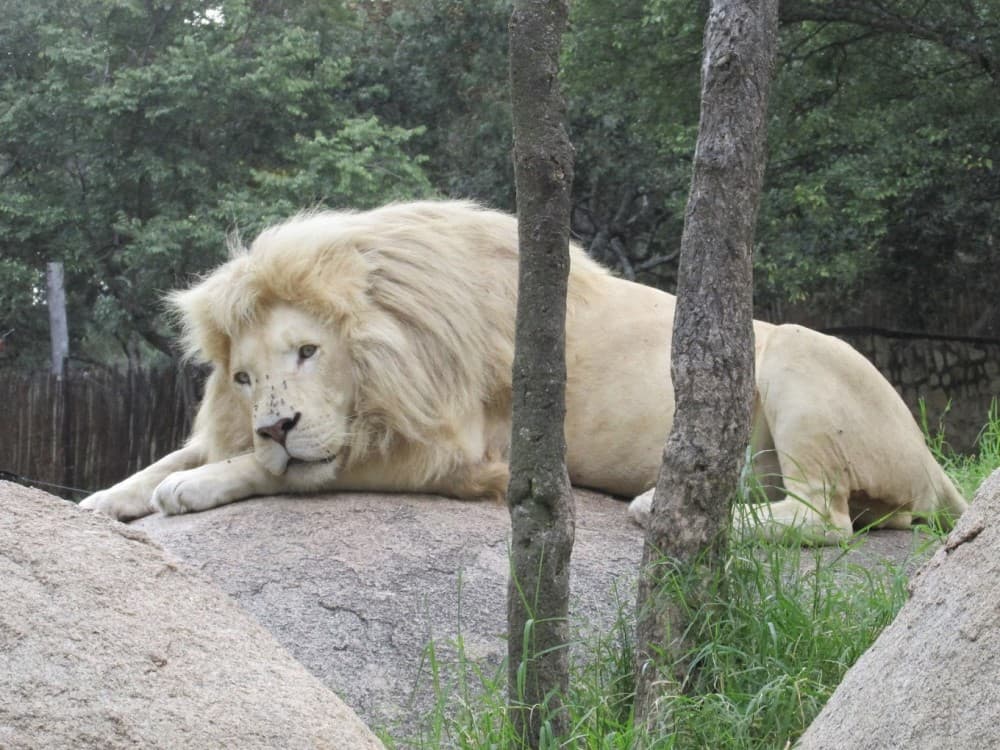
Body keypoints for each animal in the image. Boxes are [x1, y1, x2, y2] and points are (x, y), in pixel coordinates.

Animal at [81, 200, 967, 544]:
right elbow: (173, 452)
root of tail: (934, 466)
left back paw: (657, 506)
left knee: (827, 518)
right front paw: (105, 499)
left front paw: (196, 486)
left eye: (307, 351)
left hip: (800, 356)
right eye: (241, 378)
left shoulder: (458, 455)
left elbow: (286, 471)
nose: (273, 424)